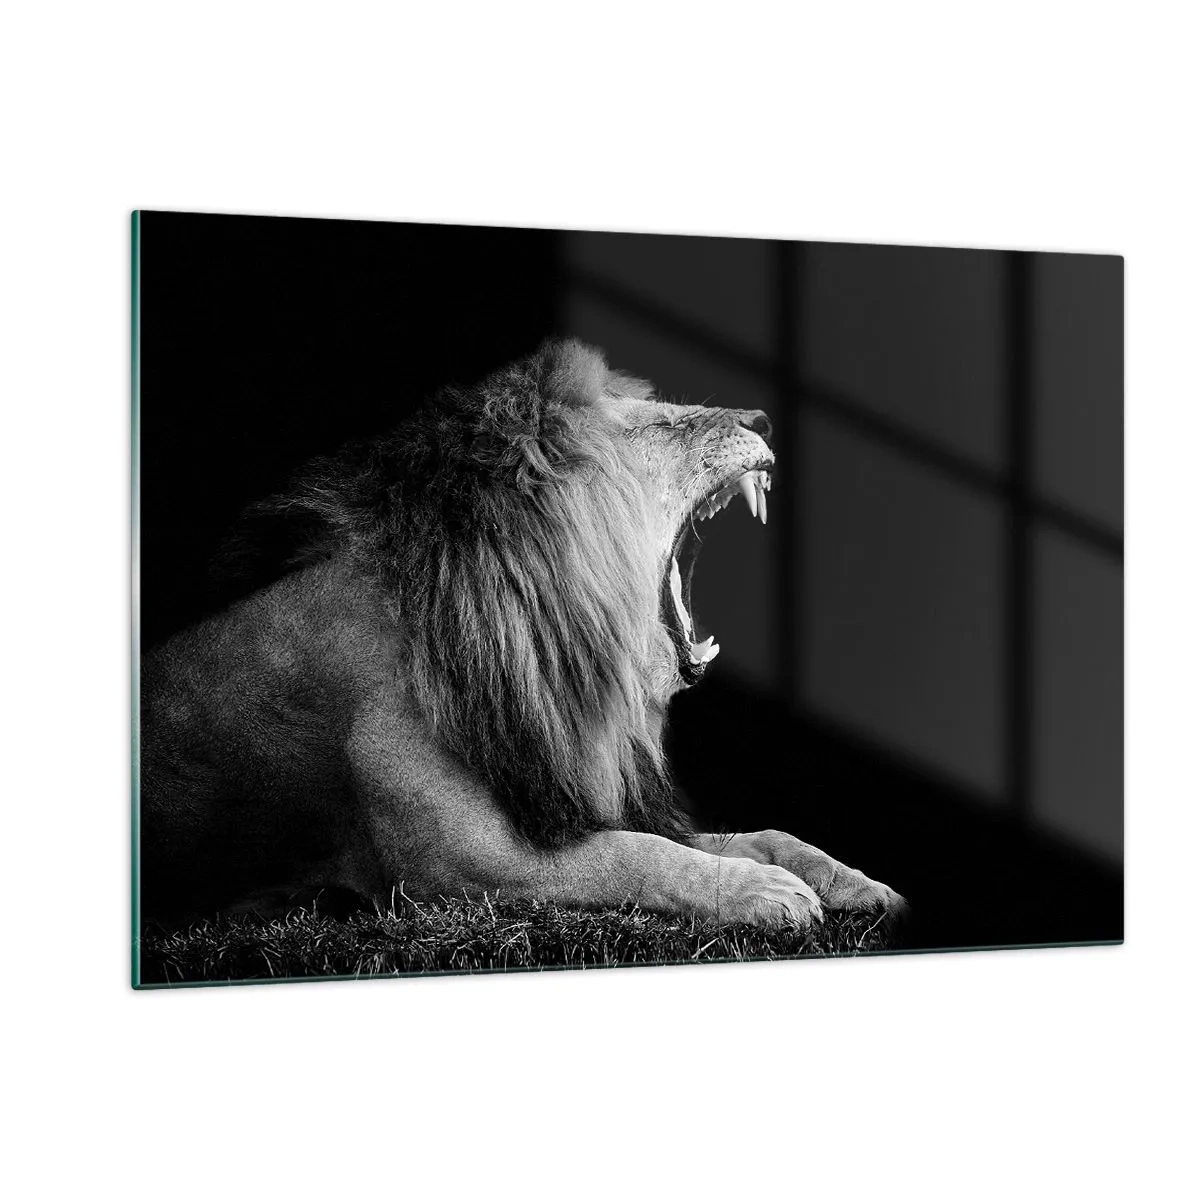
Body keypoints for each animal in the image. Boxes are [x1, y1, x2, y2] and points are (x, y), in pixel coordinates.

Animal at [139, 339, 906, 932]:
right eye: (659, 426)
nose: (761, 417)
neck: (544, 655)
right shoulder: (457, 864)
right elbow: (635, 854)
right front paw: (762, 892)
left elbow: (759, 834)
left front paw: (854, 882)